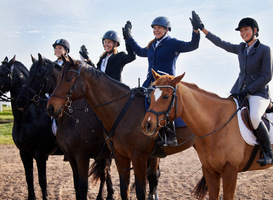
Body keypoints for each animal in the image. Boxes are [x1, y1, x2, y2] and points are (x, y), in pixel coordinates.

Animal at [0, 55, 63, 200]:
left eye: (3, 73)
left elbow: (42, 181)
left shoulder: (40, 155)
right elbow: (29, 178)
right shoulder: (24, 153)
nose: (20, 101)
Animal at [15, 53, 113, 200]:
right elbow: (76, 185)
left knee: (105, 174)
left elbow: (80, 187)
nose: (20, 100)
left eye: (38, 74)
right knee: (104, 174)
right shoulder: (28, 153)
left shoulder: (76, 156)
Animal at [46, 55, 196, 200]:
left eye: (68, 79)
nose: (51, 107)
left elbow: (139, 192)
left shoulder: (136, 157)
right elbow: (124, 190)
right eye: (58, 79)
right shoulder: (119, 157)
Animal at [141, 69, 272, 200]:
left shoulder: (230, 171)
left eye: (166, 96)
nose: (147, 125)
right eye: (151, 96)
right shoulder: (210, 170)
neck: (216, 124)